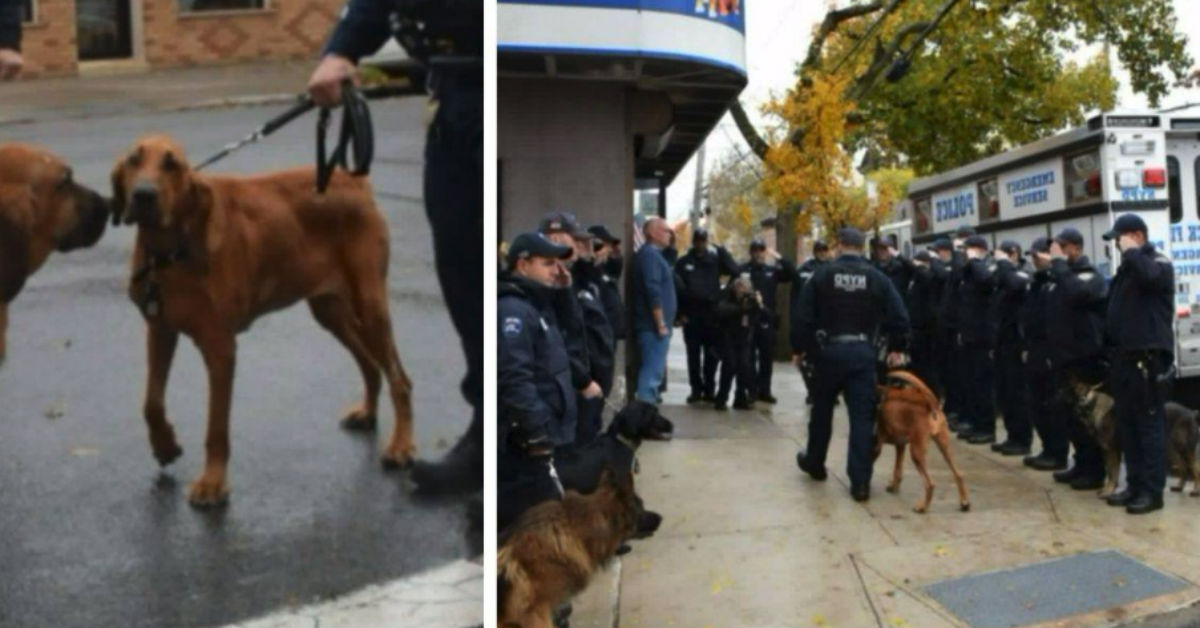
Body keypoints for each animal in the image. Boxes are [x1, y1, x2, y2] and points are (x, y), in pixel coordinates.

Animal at [112, 135, 412, 509]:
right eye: (133, 161)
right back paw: (368, 414)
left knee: (400, 379)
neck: (169, 254)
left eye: (172, 165)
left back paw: (402, 445)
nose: (143, 195)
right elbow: (151, 402)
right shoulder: (160, 329)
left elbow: (216, 427)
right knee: (370, 364)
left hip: (369, 306)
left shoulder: (221, 347)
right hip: (329, 311)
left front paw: (213, 483)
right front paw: (165, 445)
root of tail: (354, 181)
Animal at [873, 372, 974, 513]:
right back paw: (964, 502)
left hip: (916, 452)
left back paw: (922, 507)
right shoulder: (900, 445)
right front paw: (894, 485)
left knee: (930, 484)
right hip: (944, 446)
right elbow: (897, 470)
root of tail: (931, 404)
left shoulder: (877, 446)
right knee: (959, 473)